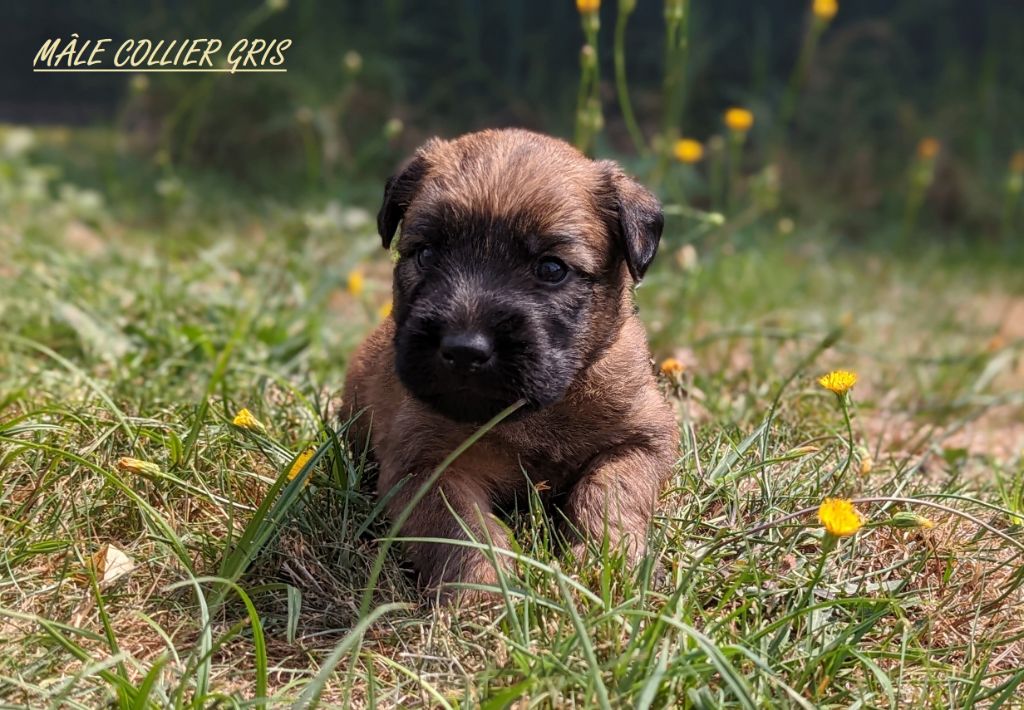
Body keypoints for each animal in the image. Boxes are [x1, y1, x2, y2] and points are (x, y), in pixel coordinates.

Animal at [342, 128, 679, 597]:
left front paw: (605, 563)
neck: (532, 413)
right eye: (426, 254)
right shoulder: (424, 468)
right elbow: (461, 528)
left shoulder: (644, 437)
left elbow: (610, 490)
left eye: (552, 268)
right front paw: (484, 591)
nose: (464, 349)